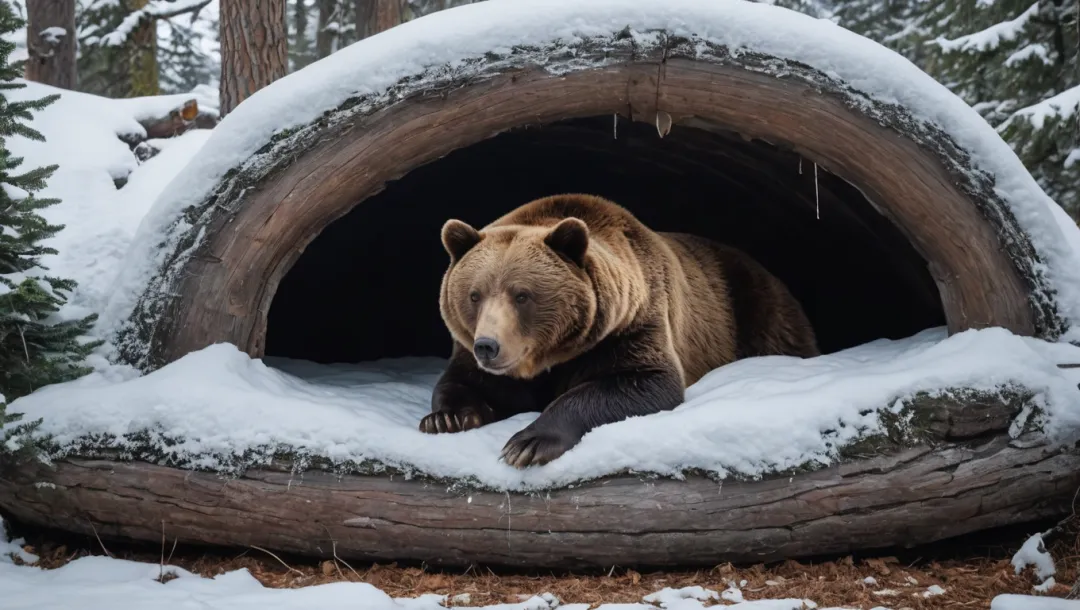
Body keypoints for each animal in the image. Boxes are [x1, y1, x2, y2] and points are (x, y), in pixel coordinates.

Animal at [416, 192, 812, 468]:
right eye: (474, 295)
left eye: (522, 295)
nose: (489, 346)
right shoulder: (474, 353)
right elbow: (462, 381)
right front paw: (446, 418)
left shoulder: (632, 325)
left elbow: (642, 381)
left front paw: (527, 443)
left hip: (753, 306)